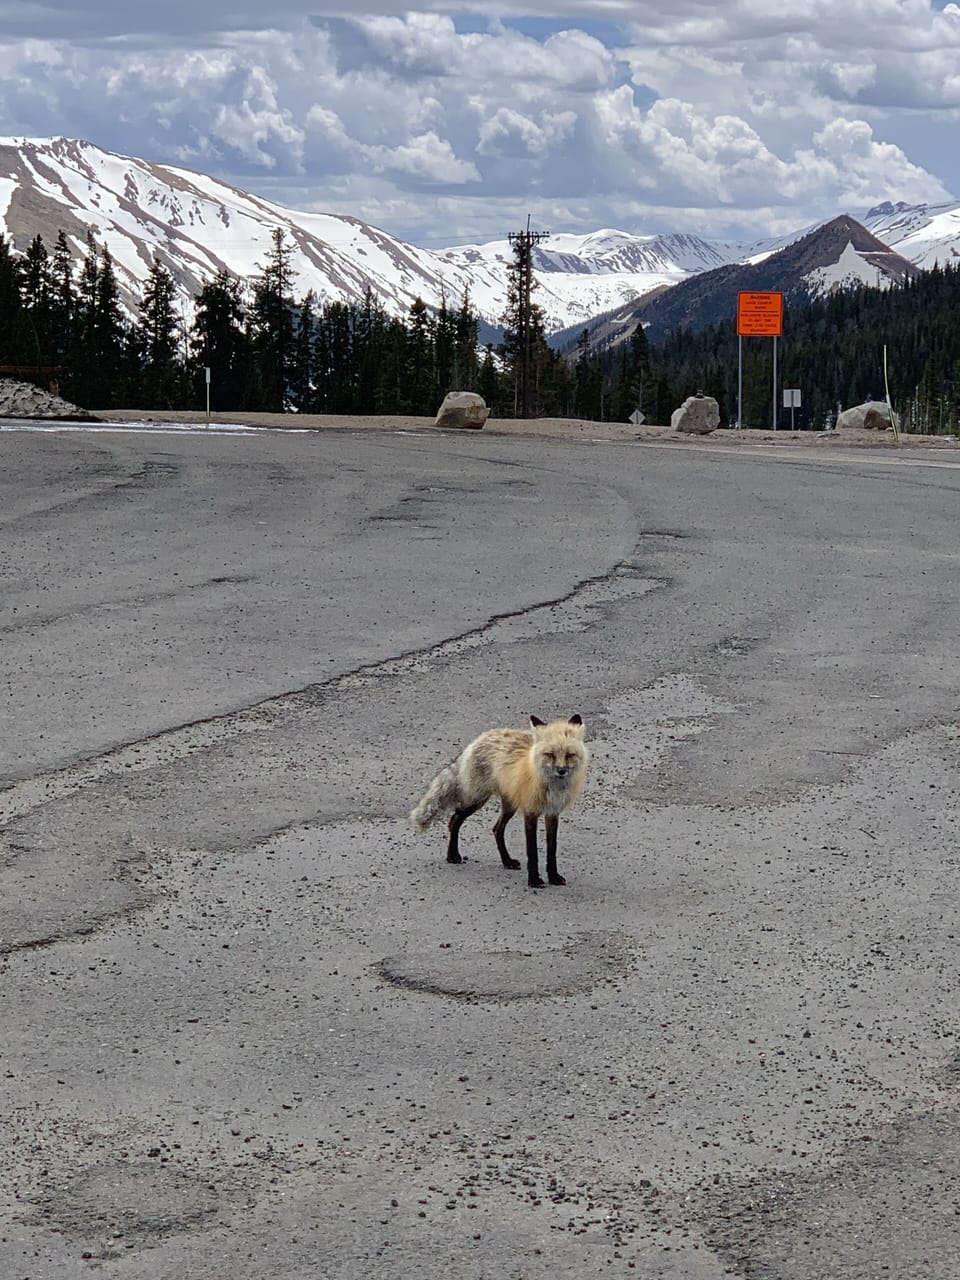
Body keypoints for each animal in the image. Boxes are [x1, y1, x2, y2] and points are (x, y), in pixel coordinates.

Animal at [409, 714, 589, 888]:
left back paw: (507, 861)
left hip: (509, 805)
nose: (561, 770)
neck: (551, 787)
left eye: (570, 755)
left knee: (496, 829)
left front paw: (553, 877)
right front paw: (534, 880)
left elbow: (552, 850)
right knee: (455, 819)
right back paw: (452, 855)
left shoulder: (552, 813)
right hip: (477, 799)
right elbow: (532, 852)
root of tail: (479, 738)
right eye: (550, 754)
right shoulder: (530, 811)